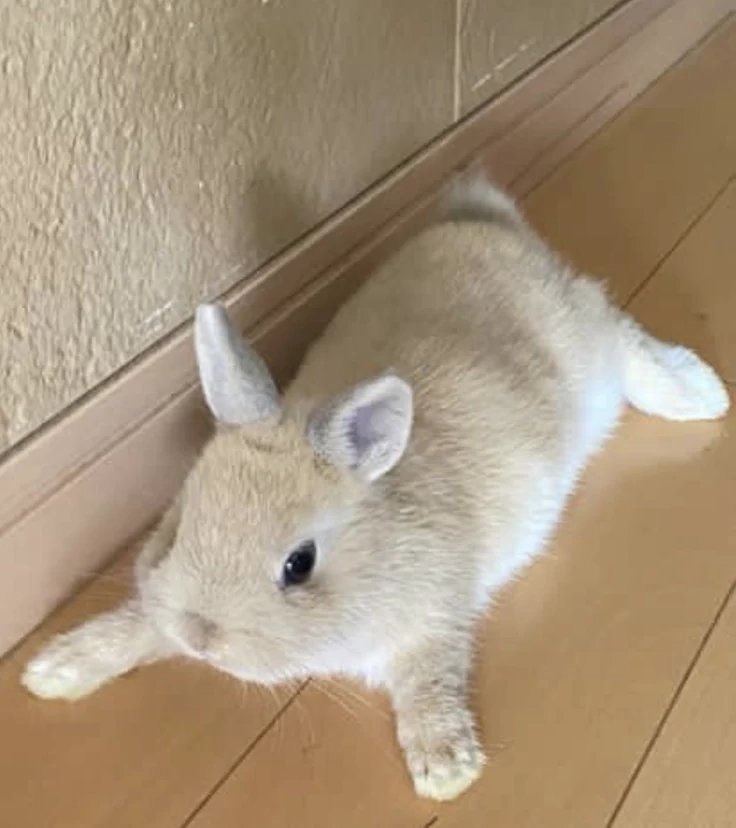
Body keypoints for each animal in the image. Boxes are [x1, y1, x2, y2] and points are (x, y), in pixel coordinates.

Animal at [21, 174, 730, 801]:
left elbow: (430, 681)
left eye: (299, 564)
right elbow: (139, 625)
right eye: (181, 522)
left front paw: (445, 769)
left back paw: (701, 393)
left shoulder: (436, 618)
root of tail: (487, 224)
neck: (381, 533)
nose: (203, 640)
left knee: (628, 342)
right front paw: (55, 670)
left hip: (593, 341)